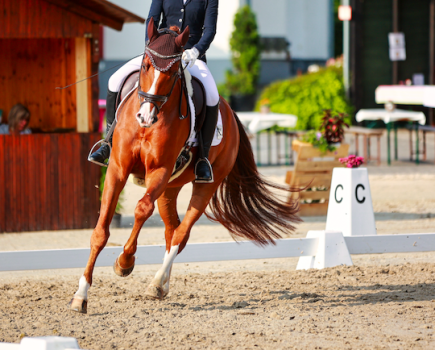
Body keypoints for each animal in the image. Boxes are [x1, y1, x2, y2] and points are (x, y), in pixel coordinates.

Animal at [68, 21, 300, 314]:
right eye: (146, 65)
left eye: (172, 72)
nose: (145, 117)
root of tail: (231, 112)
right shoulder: (117, 169)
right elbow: (100, 231)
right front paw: (80, 295)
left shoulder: (160, 170)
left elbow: (141, 210)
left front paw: (125, 262)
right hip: (170, 188)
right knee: (172, 231)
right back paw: (162, 285)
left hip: (205, 184)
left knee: (181, 232)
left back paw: (156, 283)